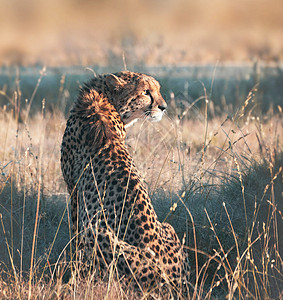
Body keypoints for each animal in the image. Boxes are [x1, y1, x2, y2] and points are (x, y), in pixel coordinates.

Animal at [60, 71, 189, 294]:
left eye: (157, 90)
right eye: (146, 92)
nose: (164, 107)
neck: (102, 98)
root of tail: (177, 281)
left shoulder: (74, 193)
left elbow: (74, 239)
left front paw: (73, 273)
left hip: (98, 232)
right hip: (168, 226)